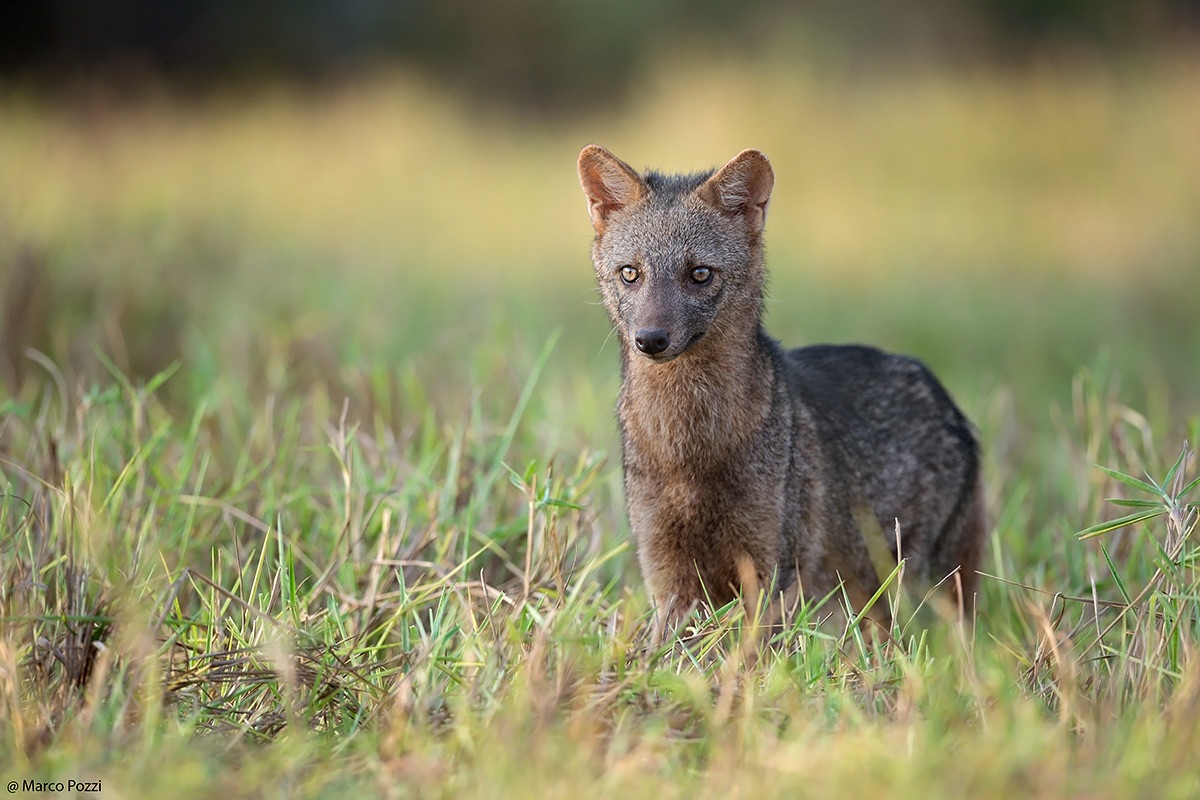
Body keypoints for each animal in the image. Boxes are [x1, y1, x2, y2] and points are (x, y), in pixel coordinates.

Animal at [577, 144, 987, 629]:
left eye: (699, 274)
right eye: (630, 273)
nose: (650, 339)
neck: (690, 448)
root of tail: (948, 402)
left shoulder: (770, 572)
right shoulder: (668, 579)